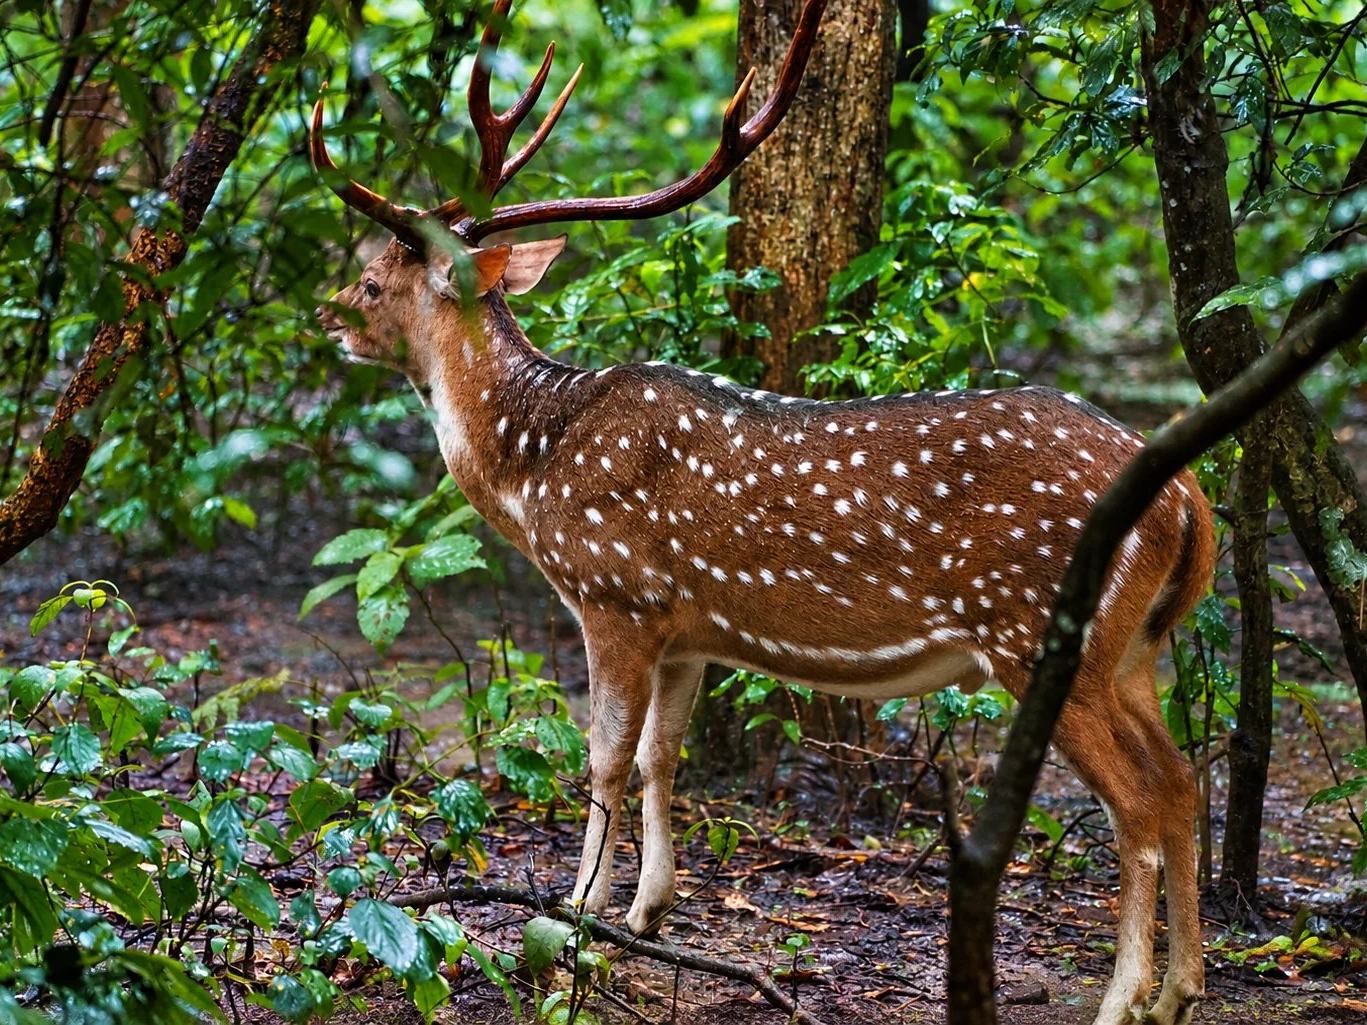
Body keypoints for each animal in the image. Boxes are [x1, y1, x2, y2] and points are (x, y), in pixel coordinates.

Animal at [311, 3, 1213, 1023]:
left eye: (374, 278)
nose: (327, 313)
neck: (531, 464)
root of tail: (1188, 498)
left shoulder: (613, 594)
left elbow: (604, 756)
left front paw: (578, 915)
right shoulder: (687, 631)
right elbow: (663, 756)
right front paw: (652, 907)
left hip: (1043, 637)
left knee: (1136, 802)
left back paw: (1123, 997)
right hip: (1133, 647)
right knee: (1182, 781)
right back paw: (1180, 990)